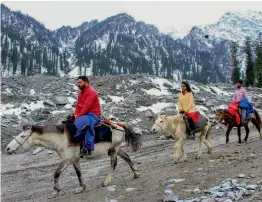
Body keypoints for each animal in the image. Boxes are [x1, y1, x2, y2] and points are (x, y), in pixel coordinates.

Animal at [6, 122, 141, 198]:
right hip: (116, 149)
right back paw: (136, 173)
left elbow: (56, 173)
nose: (7, 148)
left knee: (114, 163)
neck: (60, 139)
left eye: (22, 136)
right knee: (127, 157)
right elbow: (78, 173)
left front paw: (56, 191)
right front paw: (81, 187)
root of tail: (119, 125)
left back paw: (106, 181)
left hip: (114, 149)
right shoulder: (75, 160)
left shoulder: (66, 160)